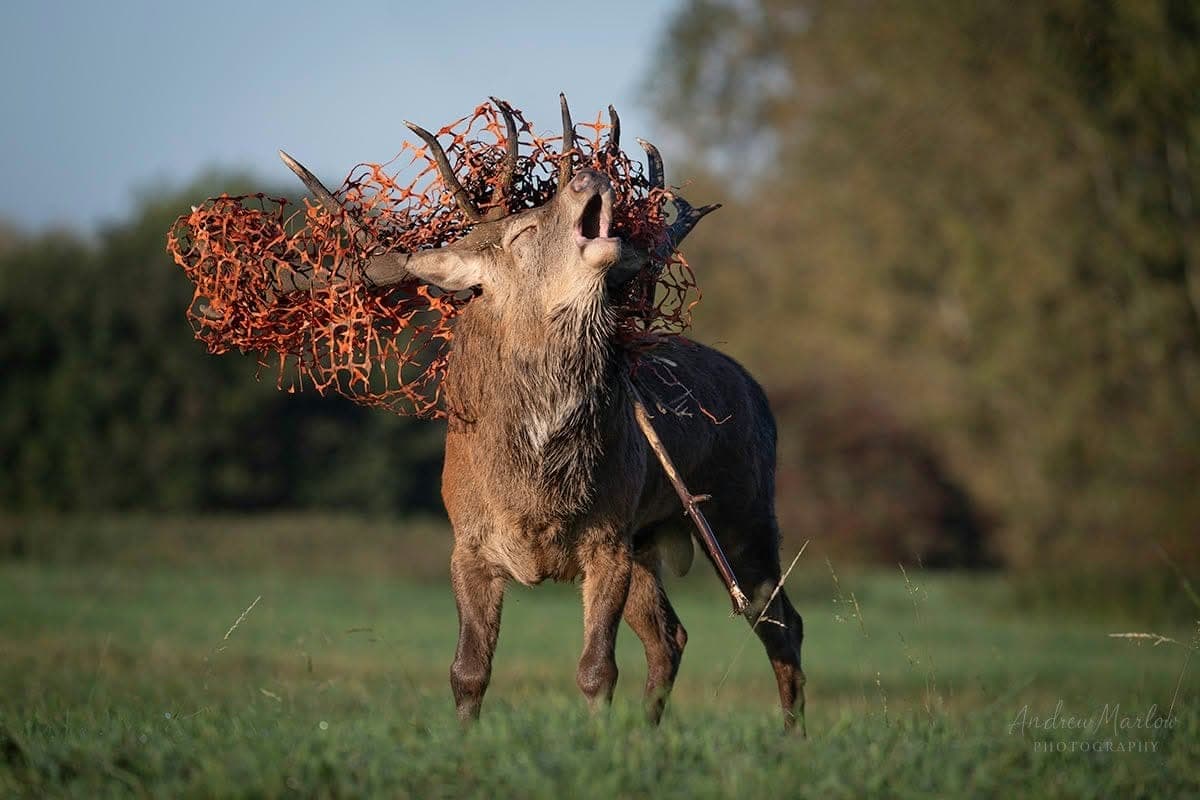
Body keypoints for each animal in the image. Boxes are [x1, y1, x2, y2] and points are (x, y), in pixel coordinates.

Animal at [270, 97, 807, 733]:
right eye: (524, 230)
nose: (590, 175)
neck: (533, 489)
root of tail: (756, 390)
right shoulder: (469, 542)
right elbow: (467, 670)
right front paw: (467, 740)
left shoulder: (607, 539)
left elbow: (596, 669)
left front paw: (598, 741)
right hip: (650, 538)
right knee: (671, 637)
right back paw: (651, 735)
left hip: (741, 507)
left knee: (780, 623)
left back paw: (791, 739)